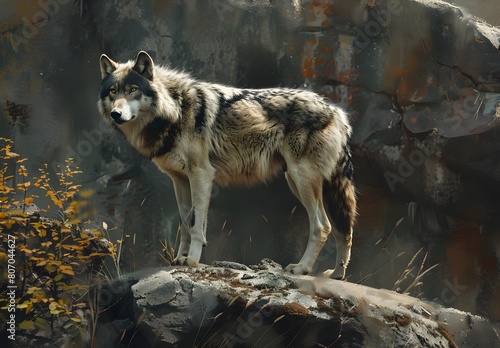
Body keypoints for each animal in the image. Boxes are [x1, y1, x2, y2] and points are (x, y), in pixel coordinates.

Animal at [96, 51, 356, 280]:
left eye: (133, 90)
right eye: (113, 91)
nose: (116, 114)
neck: (176, 110)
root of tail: (338, 112)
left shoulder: (201, 174)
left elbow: (196, 225)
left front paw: (192, 261)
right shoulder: (179, 180)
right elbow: (185, 224)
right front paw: (179, 259)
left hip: (301, 180)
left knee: (322, 227)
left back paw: (301, 268)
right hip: (301, 182)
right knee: (343, 230)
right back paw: (338, 274)